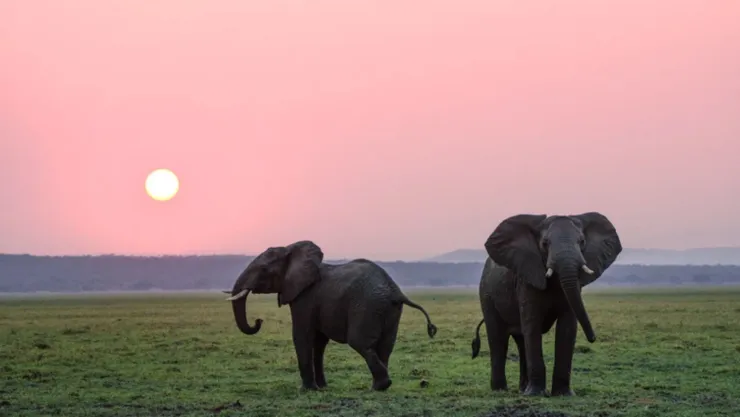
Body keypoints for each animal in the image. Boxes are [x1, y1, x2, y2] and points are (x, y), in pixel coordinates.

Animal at [225, 240, 438, 391]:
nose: (258, 320)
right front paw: (322, 387)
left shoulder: (305, 297)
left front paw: (307, 390)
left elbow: (302, 336)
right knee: (385, 347)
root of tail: (395, 290)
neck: (291, 249)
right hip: (389, 309)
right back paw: (379, 387)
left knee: (360, 342)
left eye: (263, 270)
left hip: (367, 306)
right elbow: (319, 342)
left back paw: (380, 386)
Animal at [470, 212, 622, 397]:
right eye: (544, 243)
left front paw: (563, 395)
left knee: (521, 341)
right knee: (498, 338)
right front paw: (535, 394)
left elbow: (567, 327)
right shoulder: (527, 278)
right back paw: (501, 390)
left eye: (582, 242)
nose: (593, 338)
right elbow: (532, 323)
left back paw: (522, 389)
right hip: (486, 294)